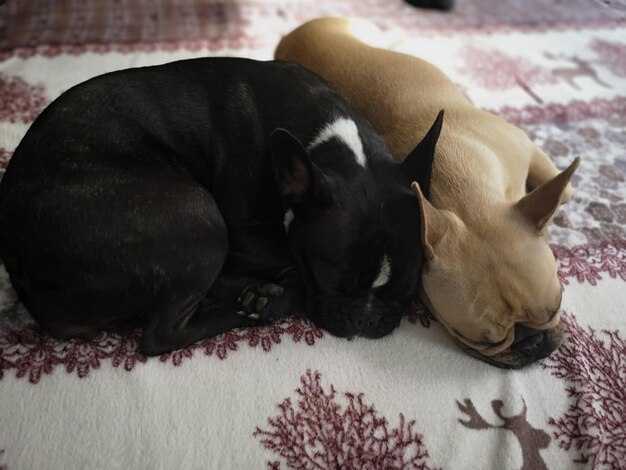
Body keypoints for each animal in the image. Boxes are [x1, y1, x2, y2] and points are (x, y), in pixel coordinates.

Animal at [0, 57, 438, 352]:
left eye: (406, 288)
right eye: (333, 282)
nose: (365, 317)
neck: (325, 139)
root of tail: (19, 256)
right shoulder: (243, 233)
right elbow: (292, 259)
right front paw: (276, 293)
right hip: (199, 213)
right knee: (162, 333)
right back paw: (246, 304)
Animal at [276, 18, 576, 370]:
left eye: (557, 306)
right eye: (481, 340)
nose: (533, 343)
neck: (467, 195)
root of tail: (296, 31)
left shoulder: (525, 145)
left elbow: (562, 187)